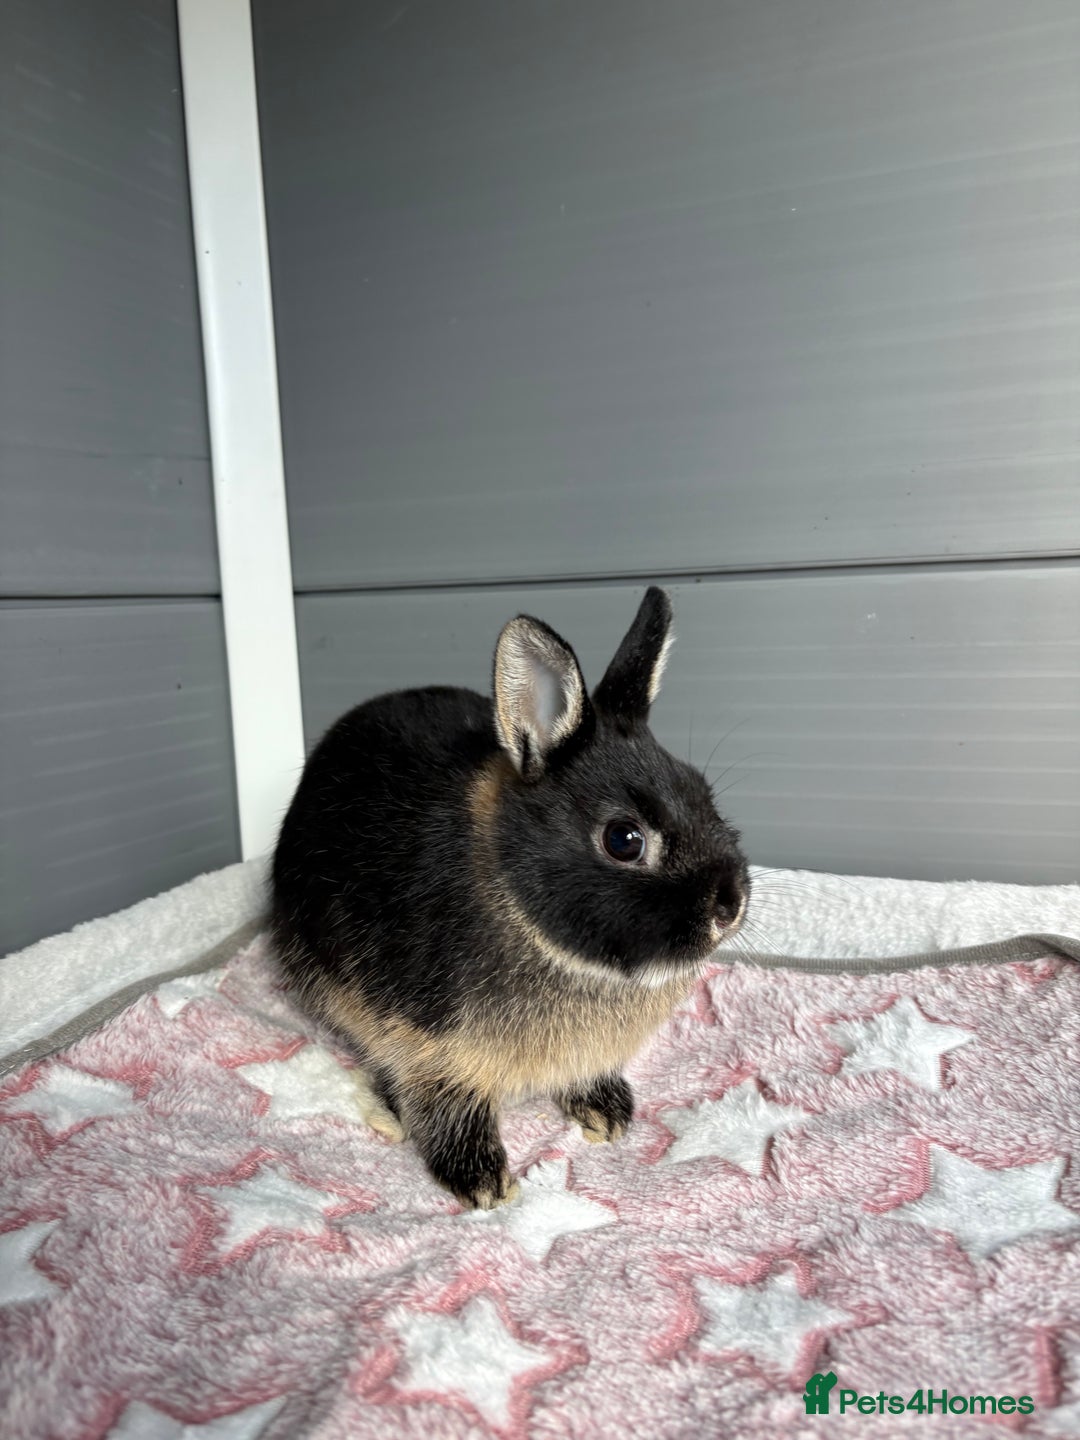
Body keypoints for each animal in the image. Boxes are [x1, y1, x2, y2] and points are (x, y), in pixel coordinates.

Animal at [270, 587, 749, 1209]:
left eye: (704, 794)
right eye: (624, 839)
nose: (730, 906)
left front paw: (607, 1114)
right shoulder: (426, 1044)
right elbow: (445, 1103)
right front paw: (482, 1181)